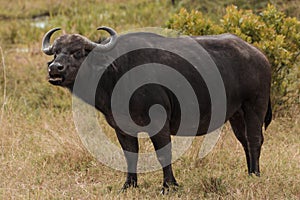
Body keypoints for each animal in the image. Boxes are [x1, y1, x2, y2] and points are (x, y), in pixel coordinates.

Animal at [41, 26, 272, 192]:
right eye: (56, 53)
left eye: (78, 52)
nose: (54, 69)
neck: (116, 73)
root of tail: (260, 56)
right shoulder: (121, 127)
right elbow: (130, 155)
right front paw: (129, 185)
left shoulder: (160, 124)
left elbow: (163, 154)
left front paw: (169, 185)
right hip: (236, 114)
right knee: (244, 141)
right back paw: (250, 172)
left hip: (255, 106)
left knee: (254, 140)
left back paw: (256, 174)